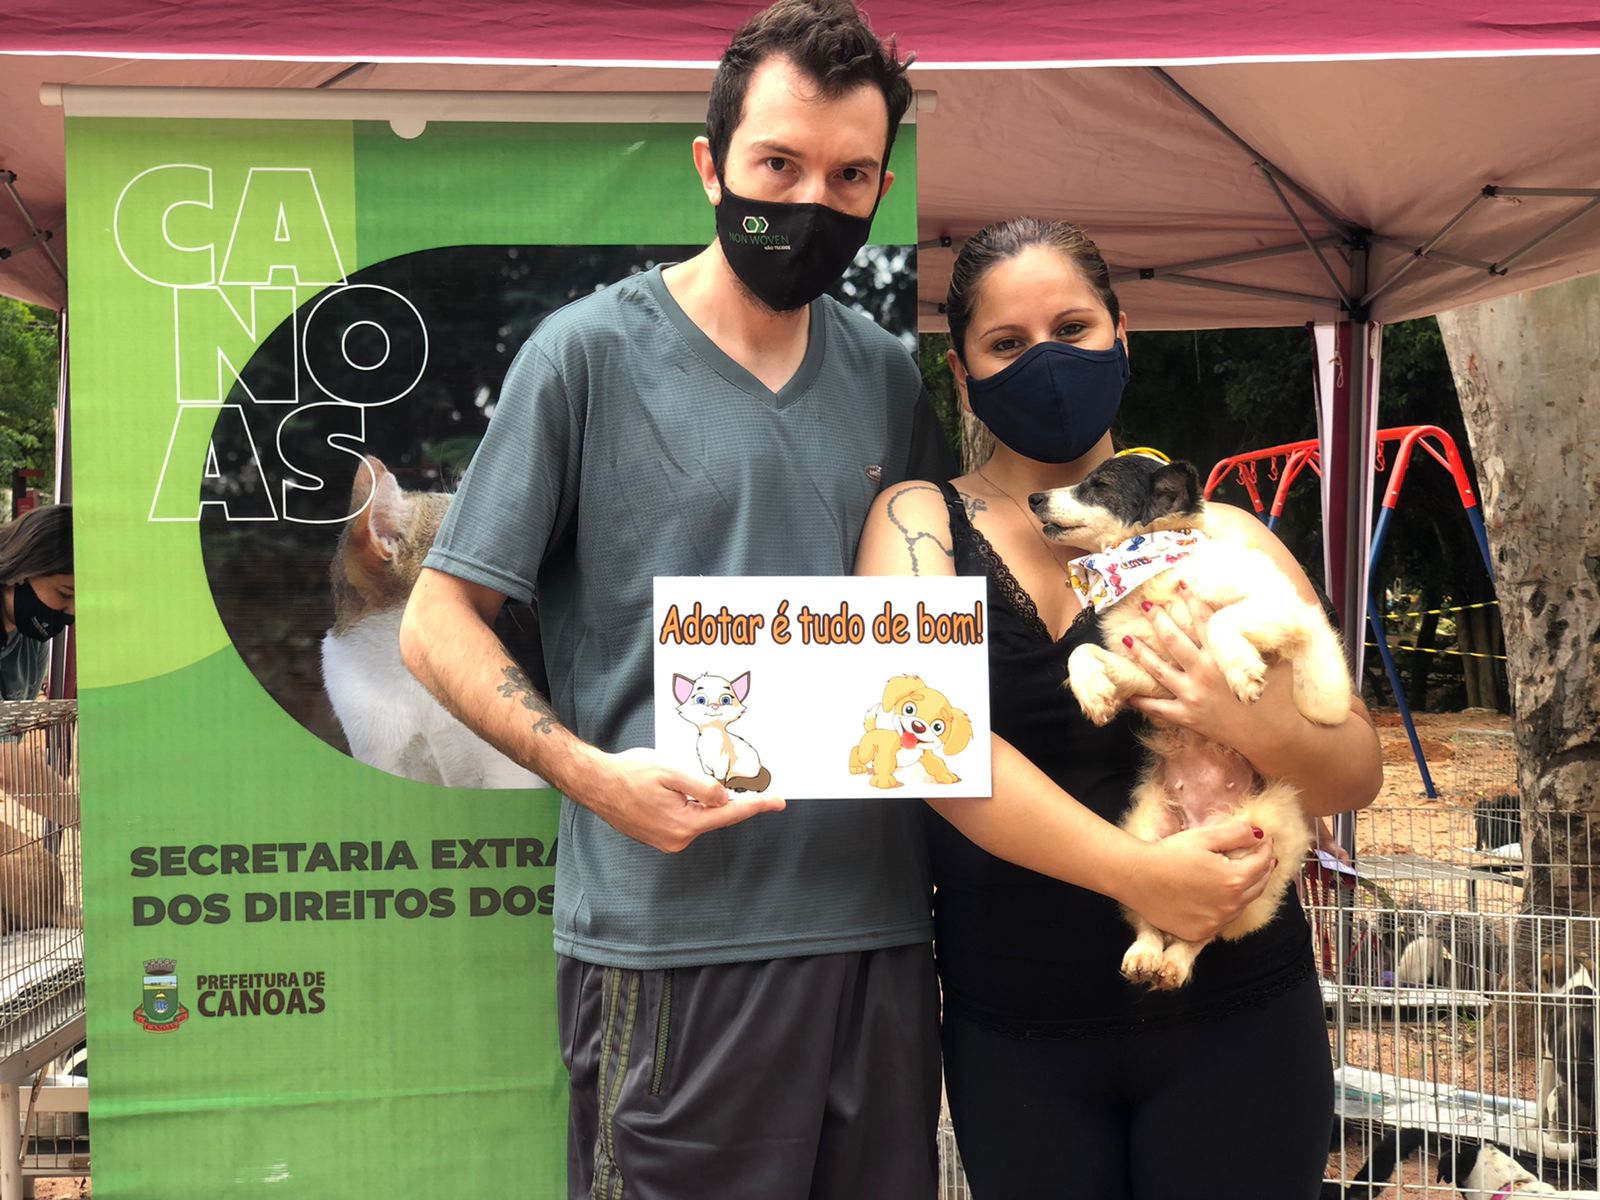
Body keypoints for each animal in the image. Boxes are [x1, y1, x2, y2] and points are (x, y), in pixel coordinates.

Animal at [1030, 453, 1352, 988]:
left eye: (1098, 485)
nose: (1035, 498)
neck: (1152, 567)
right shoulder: (1147, 668)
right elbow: (1082, 653)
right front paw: (1095, 694)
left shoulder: (1291, 620)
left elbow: (1222, 621)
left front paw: (1241, 671)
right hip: (1147, 835)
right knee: (1158, 913)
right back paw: (1146, 955)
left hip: (1257, 846)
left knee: (1206, 930)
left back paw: (1175, 962)